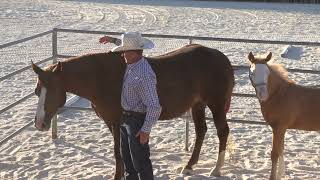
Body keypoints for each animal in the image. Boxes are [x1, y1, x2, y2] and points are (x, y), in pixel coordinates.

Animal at [31, 44, 234, 179]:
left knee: (222, 131)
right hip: (198, 105)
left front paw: (117, 176)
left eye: (53, 90)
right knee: (201, 131)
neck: (99, 77)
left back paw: (216, 169)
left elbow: (117, 151)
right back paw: (189, 166)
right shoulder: (113, 123)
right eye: (37, 91)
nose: (39, 124)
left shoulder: (116, 121)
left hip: (215, 104)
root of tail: (221, 58)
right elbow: (120, 151)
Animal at [249, 51, 320, 180]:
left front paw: (272, 177)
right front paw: (281, 174)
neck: (279, 95)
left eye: (267, 73)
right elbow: (281, 149)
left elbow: (275, 153)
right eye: (252, 72)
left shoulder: (279, 127)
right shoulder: (279, 129)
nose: (263, 95)